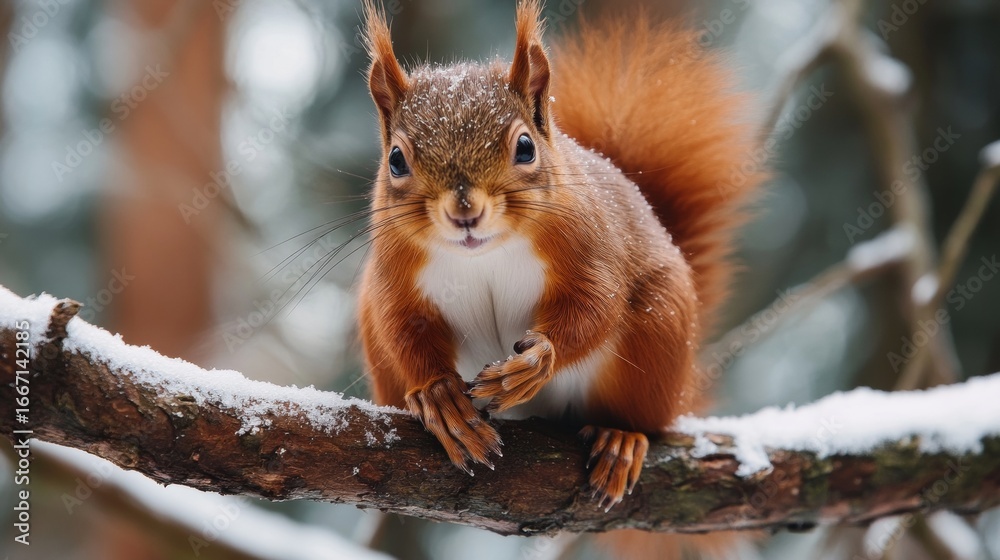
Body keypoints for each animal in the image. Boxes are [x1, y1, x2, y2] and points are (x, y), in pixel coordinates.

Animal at [358, 0, 763, 516]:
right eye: (395, 160)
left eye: (525, 147)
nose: (464, 211)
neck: (483, 256)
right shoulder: (394, 273)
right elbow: (402, 326)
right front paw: (438, 395)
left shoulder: (589, 247)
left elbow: (596, 305)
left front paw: (534, 363)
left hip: (659, 331)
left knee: (639, 412)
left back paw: (621, 437)